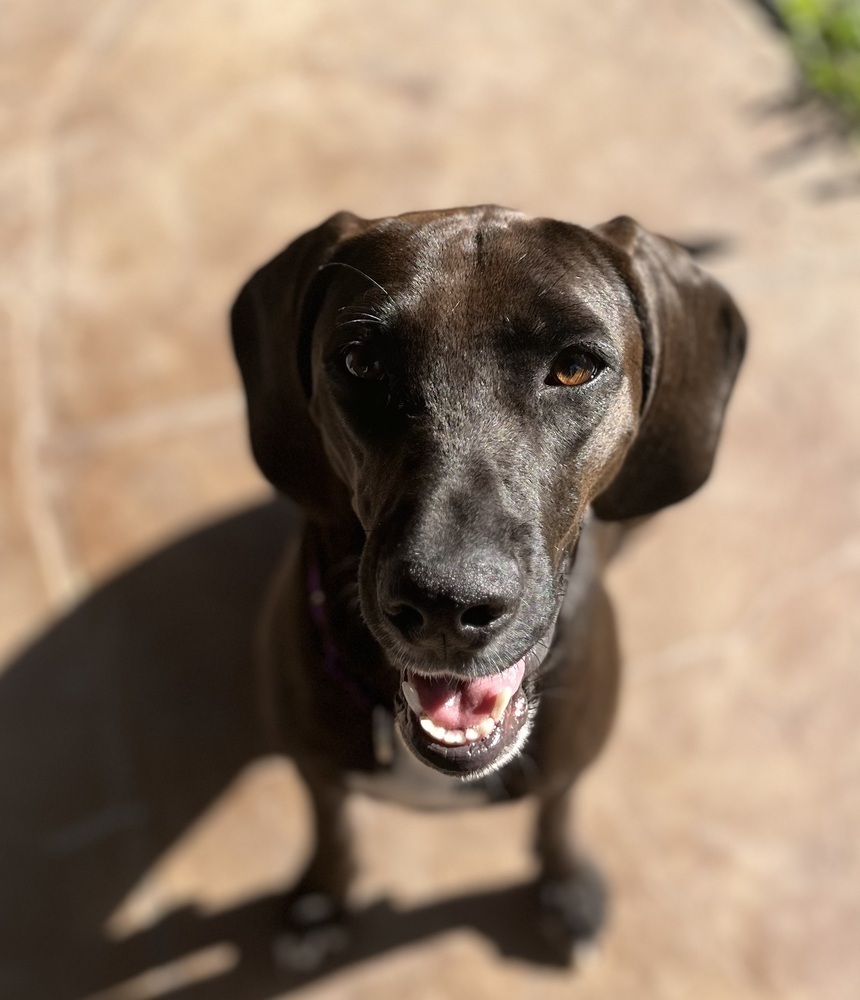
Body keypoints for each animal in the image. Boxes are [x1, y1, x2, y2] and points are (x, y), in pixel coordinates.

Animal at [228, 207, 744, 964]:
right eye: (361, 362)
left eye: (575, 367)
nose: (446, 603)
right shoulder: (313, 762)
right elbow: (331, 824)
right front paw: (320, 903)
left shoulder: (567, 764)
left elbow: (557, 816)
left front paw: (564, 888)